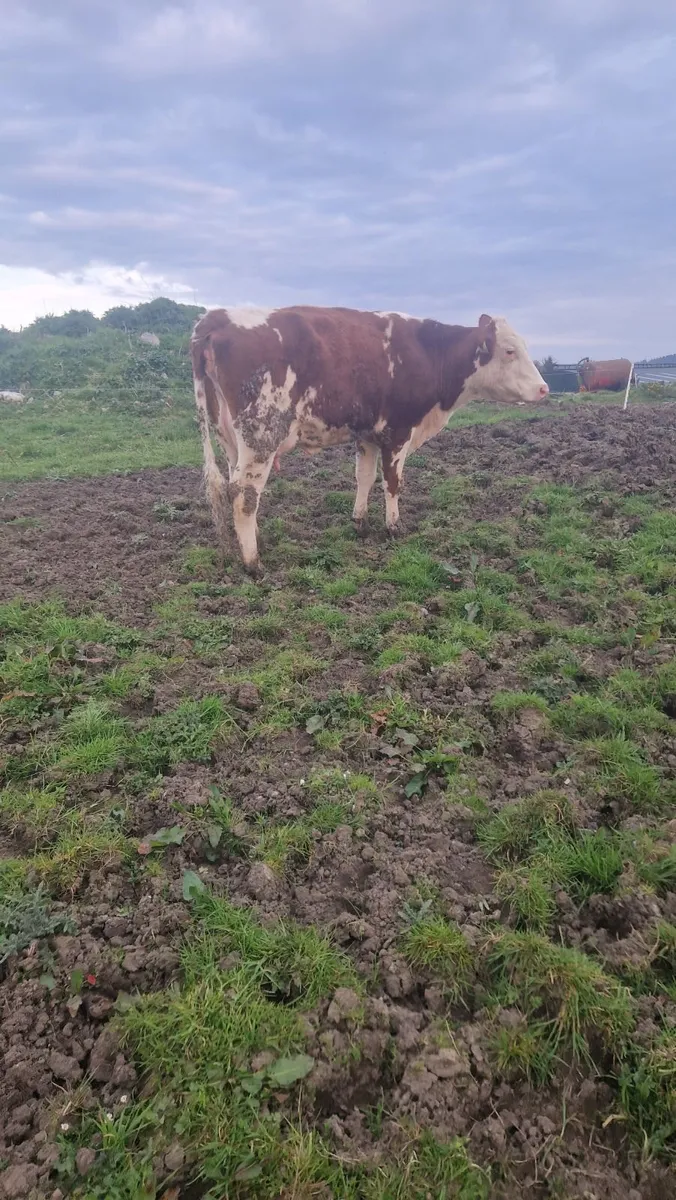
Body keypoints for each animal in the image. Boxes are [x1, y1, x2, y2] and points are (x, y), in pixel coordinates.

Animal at [190, 305, 548, 574]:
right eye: (510, 351)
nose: (544, 389)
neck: (430, 352)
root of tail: (217, 317)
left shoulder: (367, 434)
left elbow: (364, 476)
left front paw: (360, 522)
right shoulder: (399, 431)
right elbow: (392, 481)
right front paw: (394, 527)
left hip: (230, 438)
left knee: (235, 488)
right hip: (261, 435)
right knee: (245, 494)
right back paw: (253, 562)